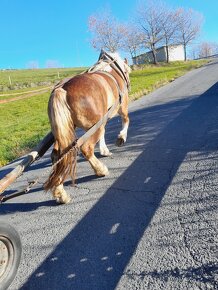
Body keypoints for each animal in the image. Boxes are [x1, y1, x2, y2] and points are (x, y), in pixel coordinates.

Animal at [43, 50, 130, 204]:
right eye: (127, 71)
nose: (129, 83)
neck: (112, 70)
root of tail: (61, 89)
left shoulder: (102, 119)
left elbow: (104, 134)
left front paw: (104, 150)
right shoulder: (122, 107)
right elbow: (126, 120)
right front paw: (121, 138)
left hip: (64, 132)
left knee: (57, 157)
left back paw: (61, 194)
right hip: (94, 126)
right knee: (86, 148)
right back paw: (100, 170)